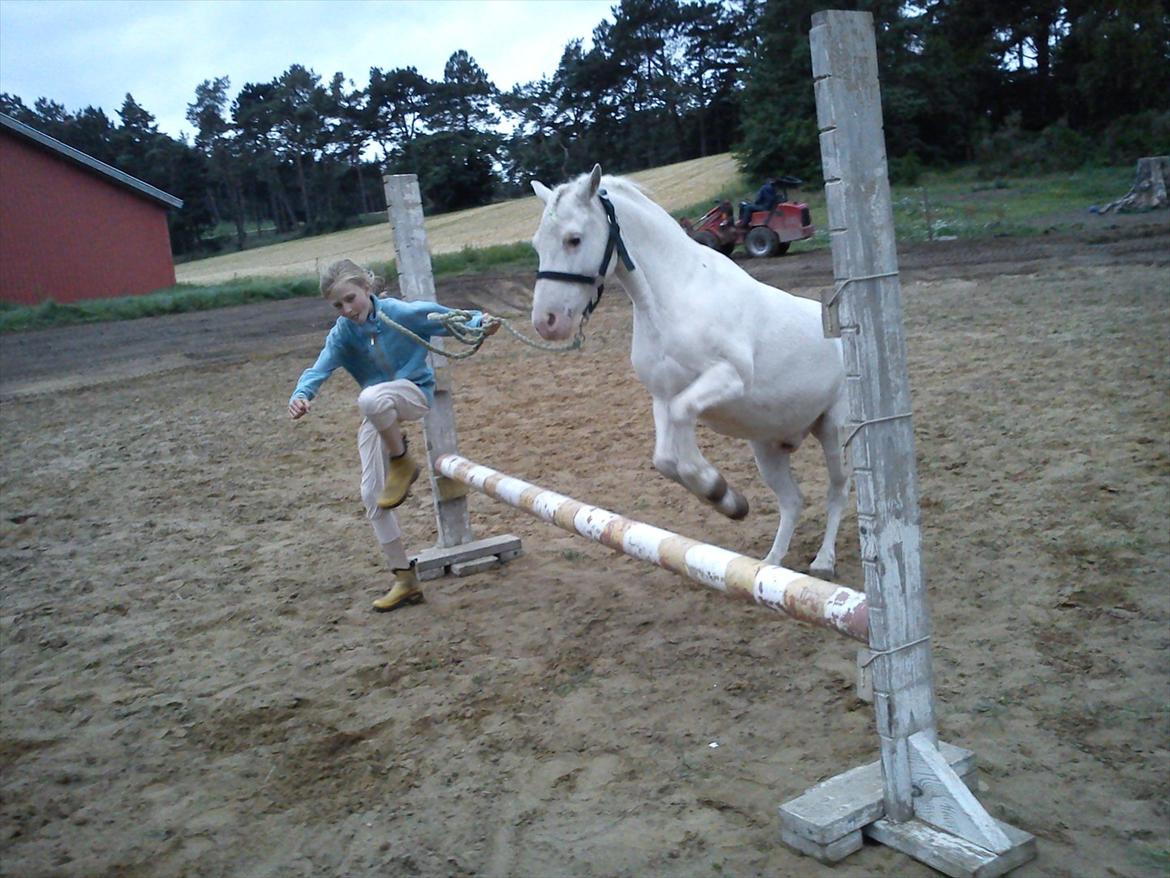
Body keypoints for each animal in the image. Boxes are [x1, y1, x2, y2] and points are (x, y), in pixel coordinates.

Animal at [529, 164, 851, 577]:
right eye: (538, 244)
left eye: (574, 239)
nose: (547, 323)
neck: (673, 297)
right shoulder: (662, 396)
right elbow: (665, 459)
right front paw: (730, 502)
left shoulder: (727, 379)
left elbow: (684, 420)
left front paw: (715, 489)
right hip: (767, 448)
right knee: (792, 501)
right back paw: (769, 566)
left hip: (834, 430)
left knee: (837, 490)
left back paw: (823, 561)